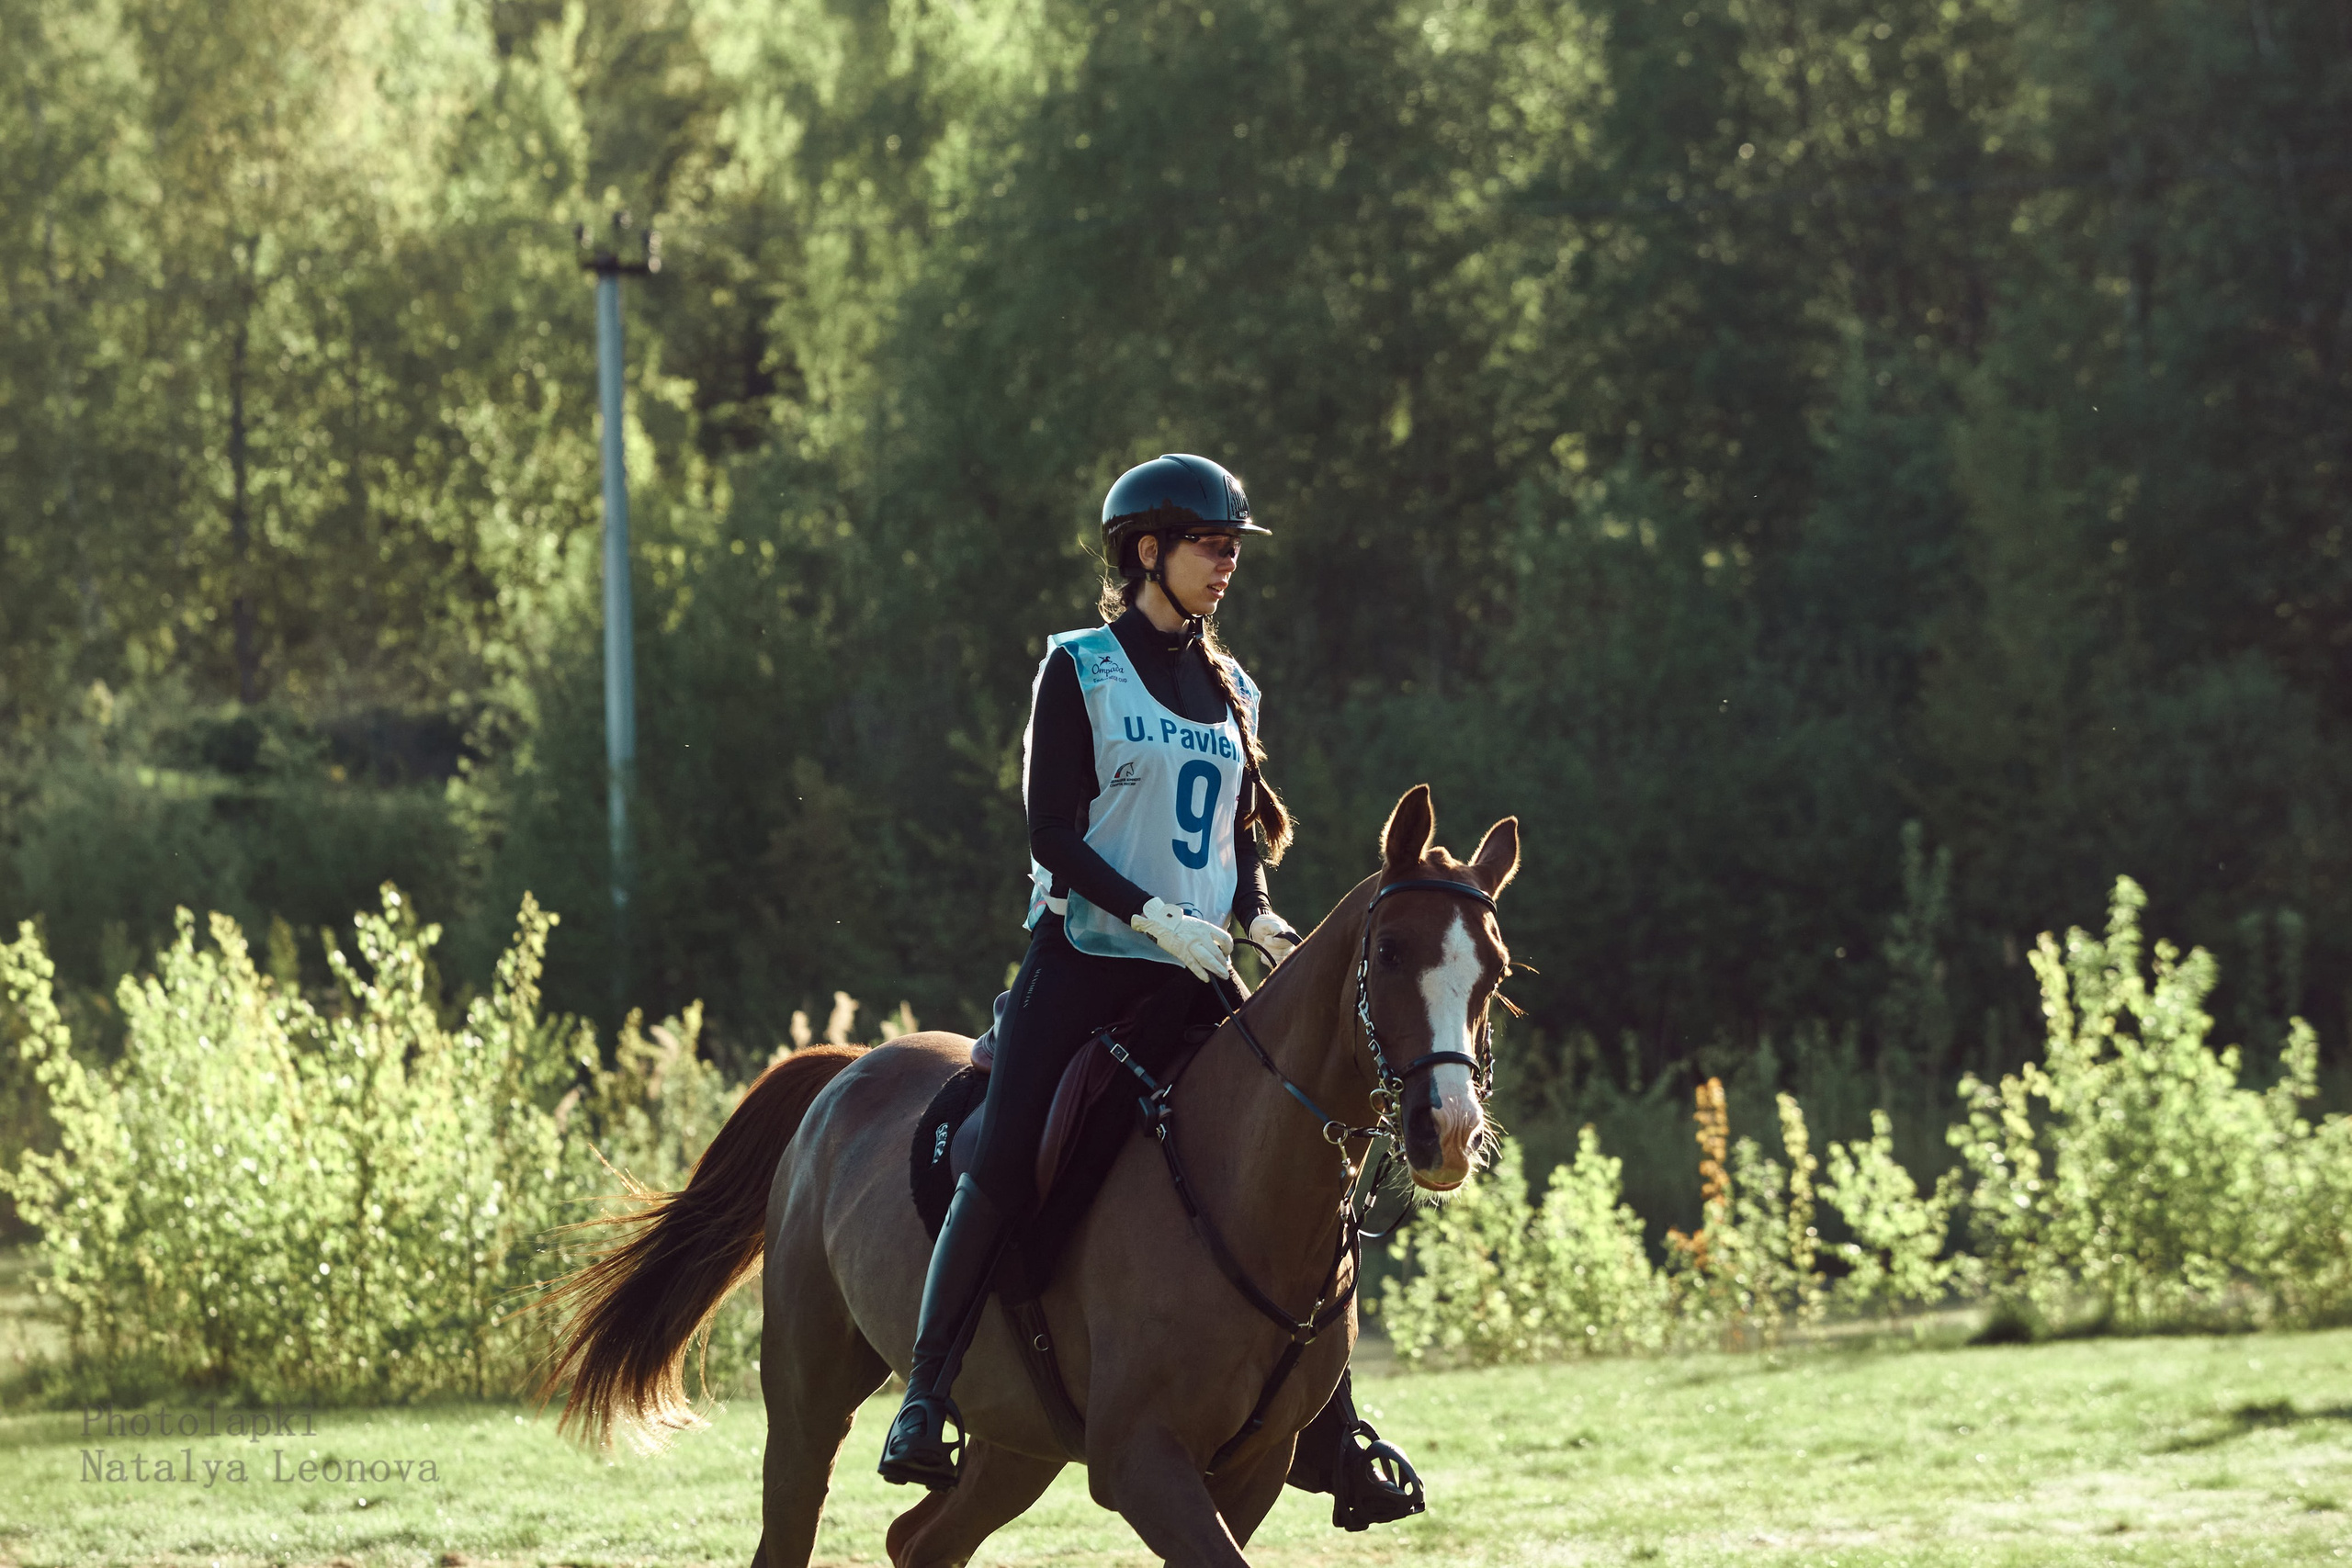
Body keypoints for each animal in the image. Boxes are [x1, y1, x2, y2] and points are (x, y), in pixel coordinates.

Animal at [536, 783, 1518, 1568]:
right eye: (1390, 952)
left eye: (1495, 972)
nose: (1446, 1131)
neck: (1238, 1189)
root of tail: (850, 1068)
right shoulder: (1140, 1461)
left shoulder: (1253, 1466)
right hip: (810, 1397)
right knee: (795, 1528)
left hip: (1017, 1441)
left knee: (920, 1542)